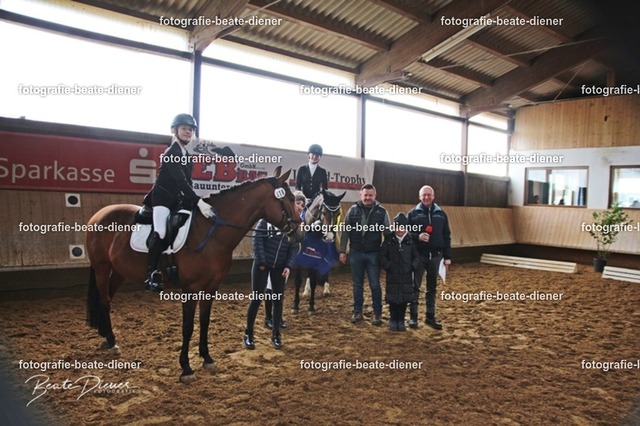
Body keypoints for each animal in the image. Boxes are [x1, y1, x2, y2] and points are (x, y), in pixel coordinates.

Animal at [85, 167, 300, 382]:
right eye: (290, 198)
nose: (300, 232)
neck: (211, 232)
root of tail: (98, 215)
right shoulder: (191, 289)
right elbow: (187, 327)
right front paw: (186, 368)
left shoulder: (211, 288)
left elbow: (204, 322)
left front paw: (207, 358)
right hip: (102, 268)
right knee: (104, 301)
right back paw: (112, 341)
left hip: (119, 271)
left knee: (108, 297)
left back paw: (105, 336)